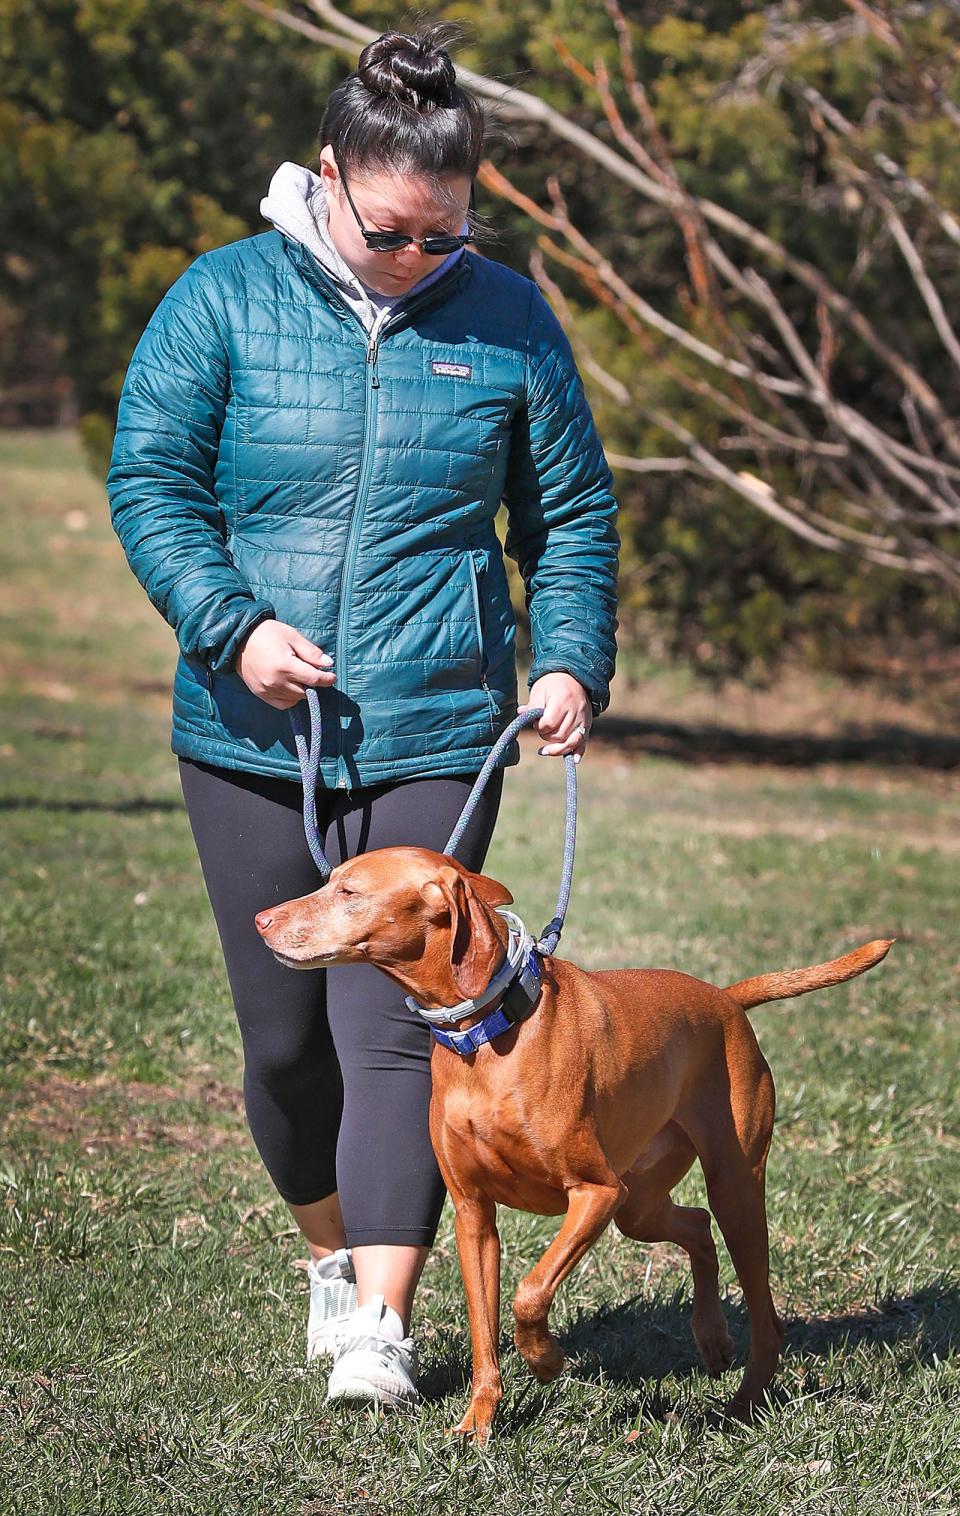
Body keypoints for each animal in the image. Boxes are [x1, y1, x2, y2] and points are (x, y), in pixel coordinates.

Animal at [254, 848, 891, 1437]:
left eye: (350, 891)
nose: (260, 918)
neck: (485, 1033)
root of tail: (727, 999)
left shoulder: (593, 1193)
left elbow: (529, 1294)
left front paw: (546, 1359)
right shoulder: (474, 1216)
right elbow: (484, 1330)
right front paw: (478, 1423)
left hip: (728, 1189)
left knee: (763, 1311)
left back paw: (742, 1404)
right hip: (640, 1204)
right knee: (696, 1227)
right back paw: (711, 1338)